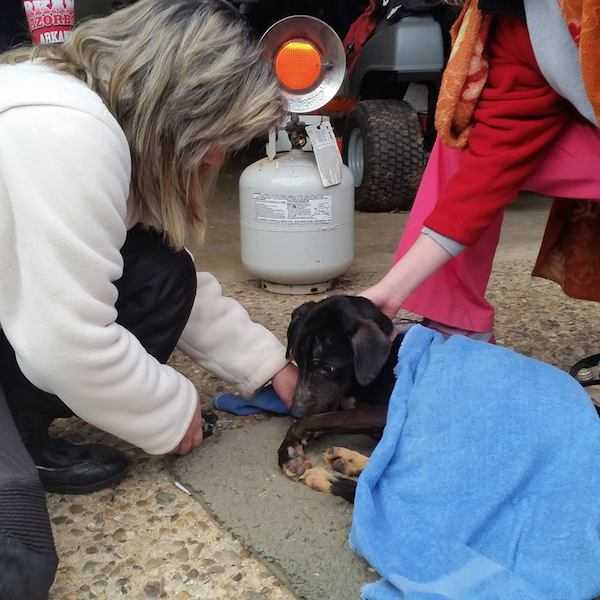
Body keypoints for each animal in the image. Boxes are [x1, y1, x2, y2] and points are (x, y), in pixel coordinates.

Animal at [278, 296, 404, 502]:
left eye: (328, 368)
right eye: (298, 361)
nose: (295, 411)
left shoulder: (383, 413)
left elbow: (322, 419)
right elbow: (320, 418)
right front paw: (289, 450)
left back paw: (326, 478)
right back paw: (347, 461)